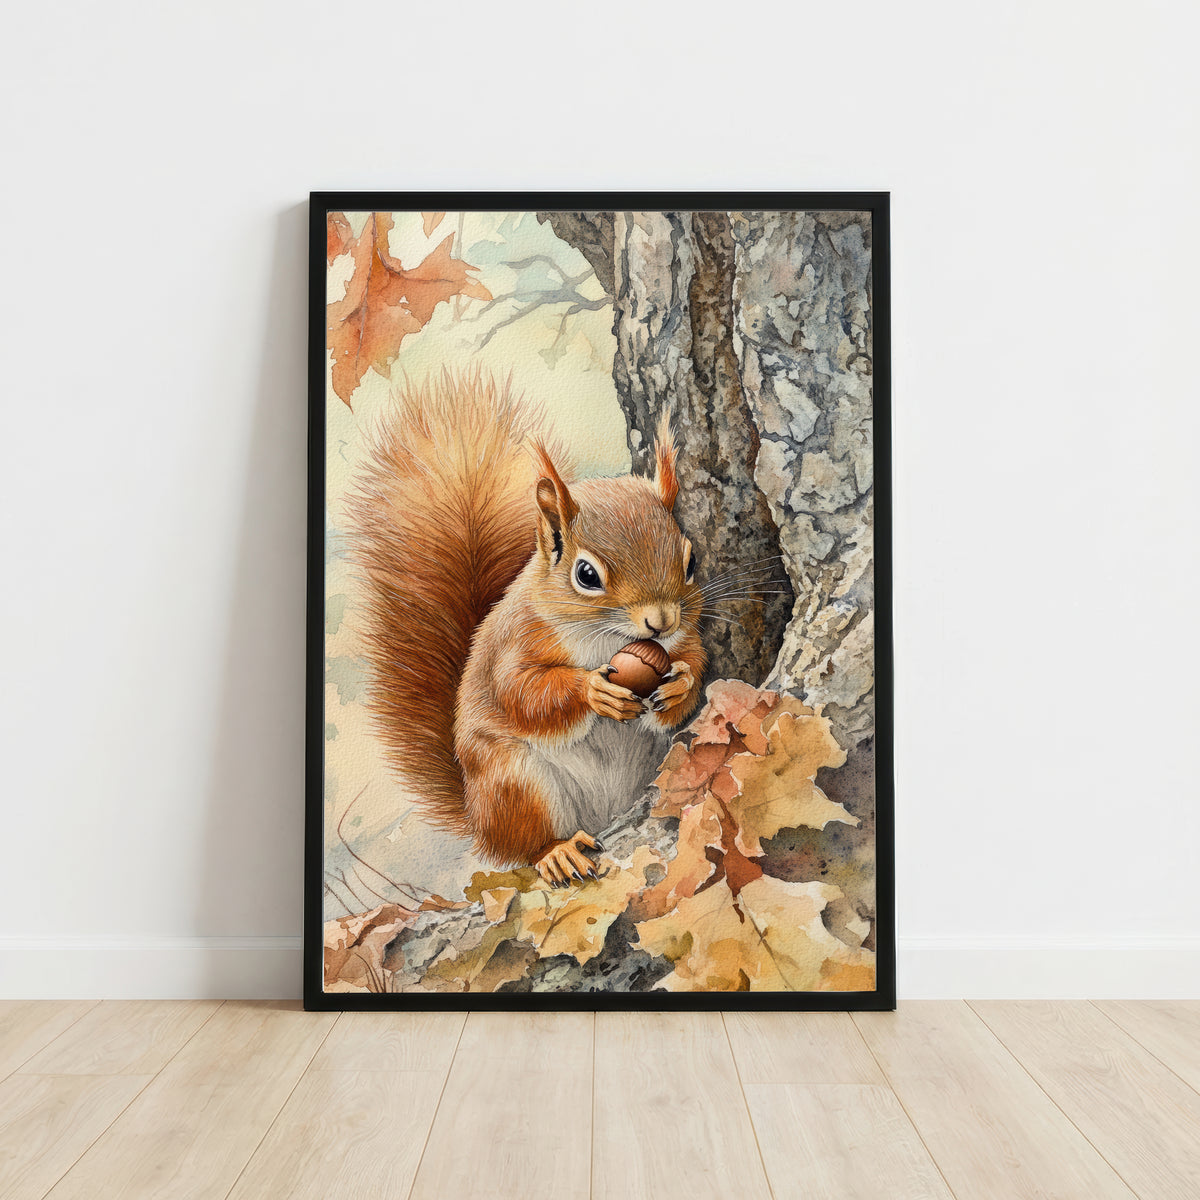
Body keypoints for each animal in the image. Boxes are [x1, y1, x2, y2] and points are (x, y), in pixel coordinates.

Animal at [345, 370, 707, 887]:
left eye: (691, 560)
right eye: (586, 575)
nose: (661, 621)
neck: (605, 640)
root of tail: (478, 819)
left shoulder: (686, 634)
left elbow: (694, 656)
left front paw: (680, 686)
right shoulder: (516, 641)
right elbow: (521, 691)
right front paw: (592, 691)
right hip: (513, 782)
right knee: (525, 843)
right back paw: (557, 851)